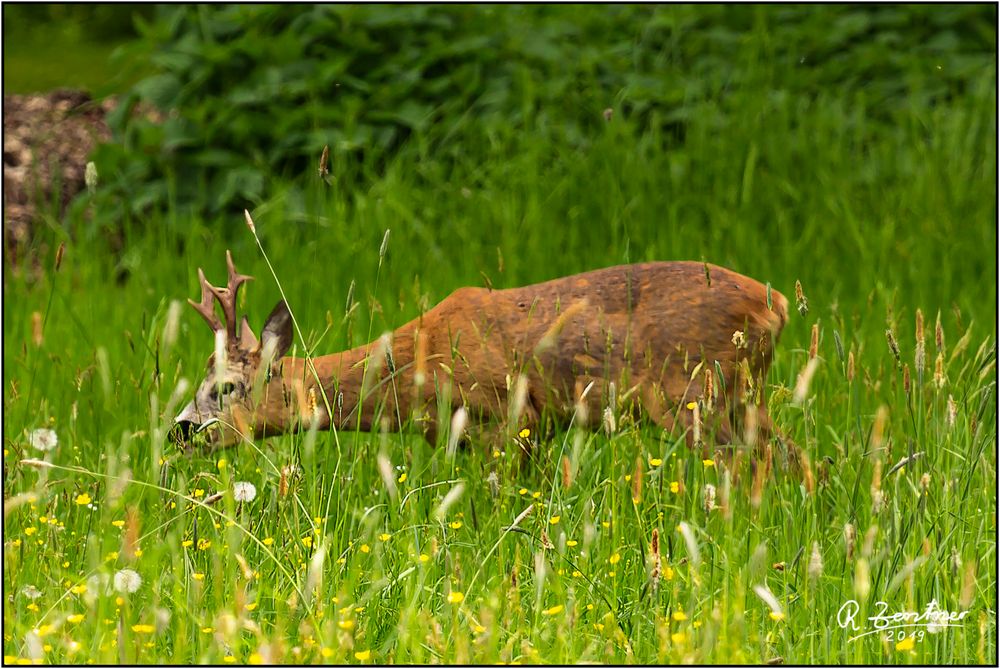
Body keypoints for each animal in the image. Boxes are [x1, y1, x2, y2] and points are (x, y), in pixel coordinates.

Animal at [172, 249, 788, 454]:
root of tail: (775, 302)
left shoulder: (508, 417)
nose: (180, 429)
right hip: (739, 394)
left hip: (693, 393)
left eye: (225, 388)